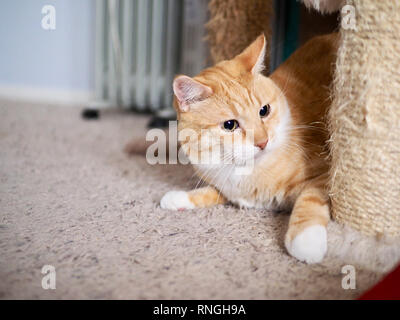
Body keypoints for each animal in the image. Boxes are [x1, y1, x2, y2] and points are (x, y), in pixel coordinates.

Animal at [161, 33, 340, 262]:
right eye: (230, 125)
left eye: (264, 110)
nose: (263, 142)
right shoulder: (226, 187)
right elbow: (212, 192)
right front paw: (178, 198)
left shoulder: (325, 174)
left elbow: (310, 200)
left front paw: (306, 240)